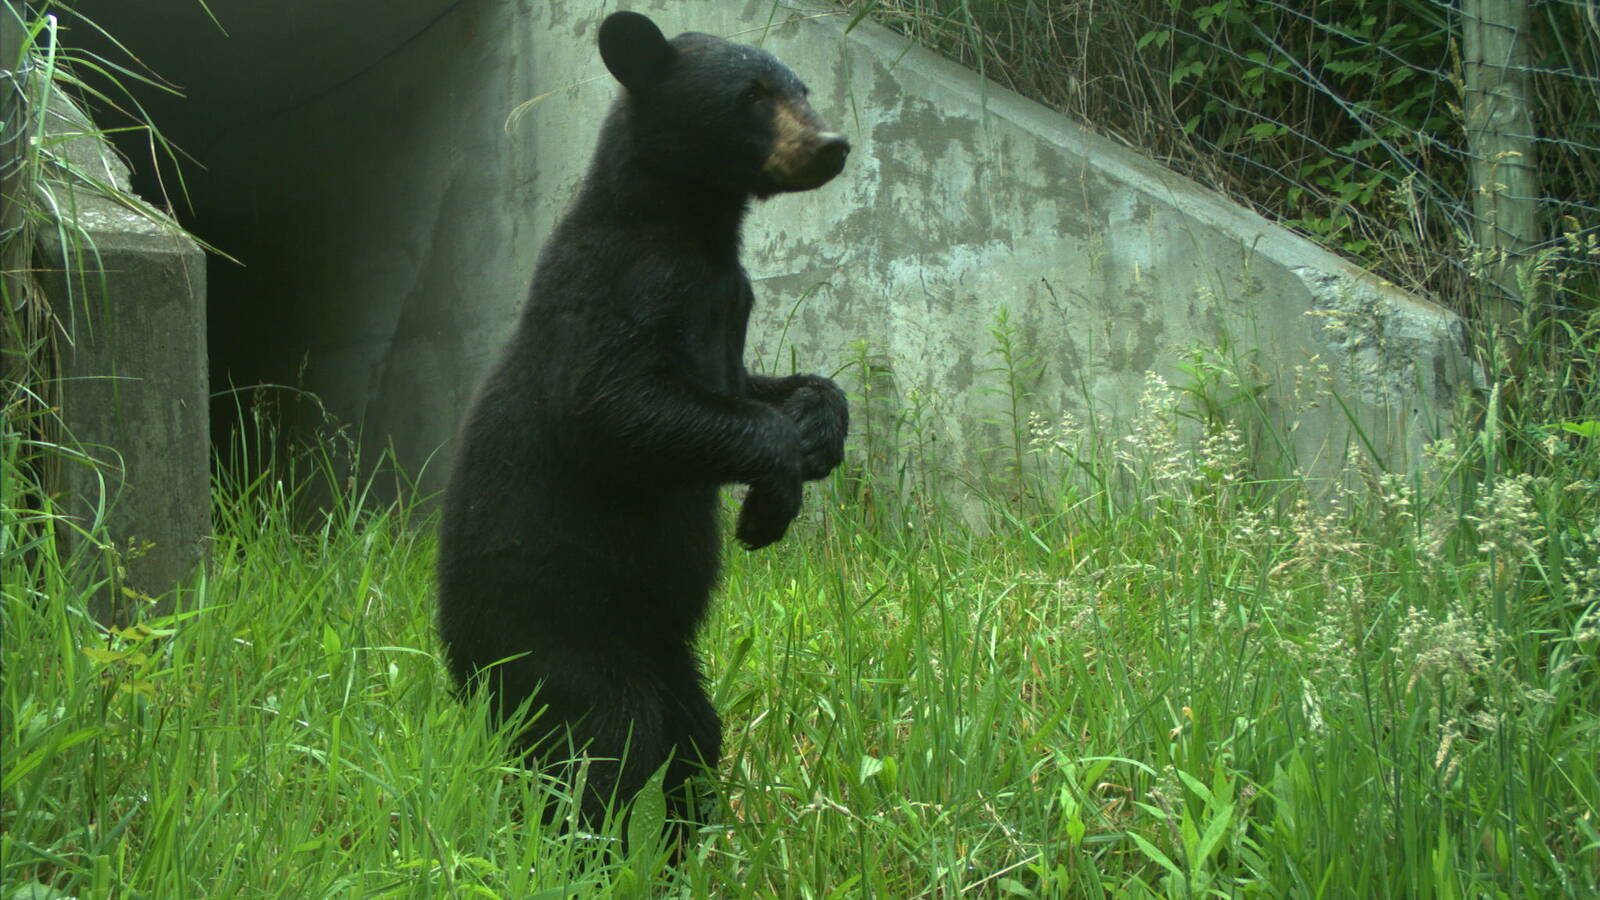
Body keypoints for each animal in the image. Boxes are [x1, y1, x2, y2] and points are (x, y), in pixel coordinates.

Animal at [425, 10, 851, 832]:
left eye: (803, 88)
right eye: (751, 94)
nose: (832, 144)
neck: (691, 229)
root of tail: (461, 668)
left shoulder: (729, 303)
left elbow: (755, 386)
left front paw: (820, 428)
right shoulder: (622, 287)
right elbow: (613, 407)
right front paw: (770, 502)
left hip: (665, 652)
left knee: (694, 734)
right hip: (555, 635)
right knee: (606, 740)